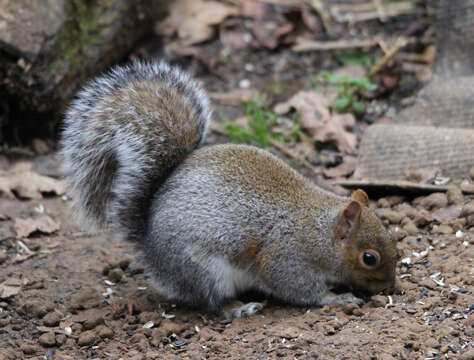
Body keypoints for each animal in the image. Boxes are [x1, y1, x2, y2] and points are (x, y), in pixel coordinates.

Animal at [61, 61, 398, 318]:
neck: (321, 232)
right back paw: (239, 308)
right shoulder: (288, 257)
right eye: (369, 258)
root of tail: (149, 243)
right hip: (203, 270)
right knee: (211, 302)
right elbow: (298, 287)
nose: (390, 287)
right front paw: (335, 298)